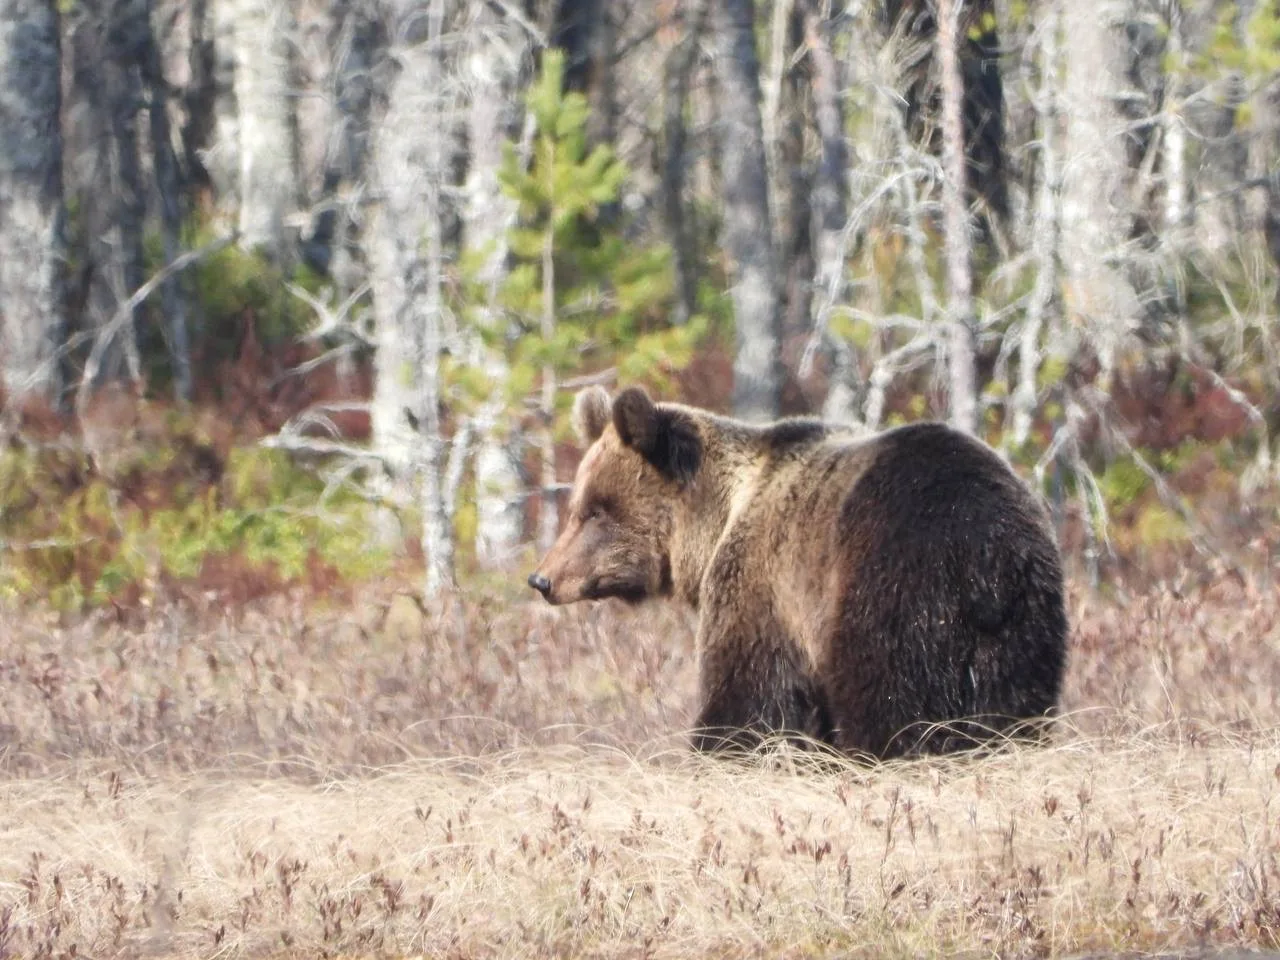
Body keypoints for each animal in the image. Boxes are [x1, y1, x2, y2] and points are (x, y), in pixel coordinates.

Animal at [527, 384, 1069, 760]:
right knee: (1011, 715)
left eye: (597, 511)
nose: (543, 579)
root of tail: (988, 553)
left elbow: (747, 704)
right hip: (1021, 631)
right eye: (578, 506)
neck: (718, 520)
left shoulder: (762, 590)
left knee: (891, 711)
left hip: (891, 597)